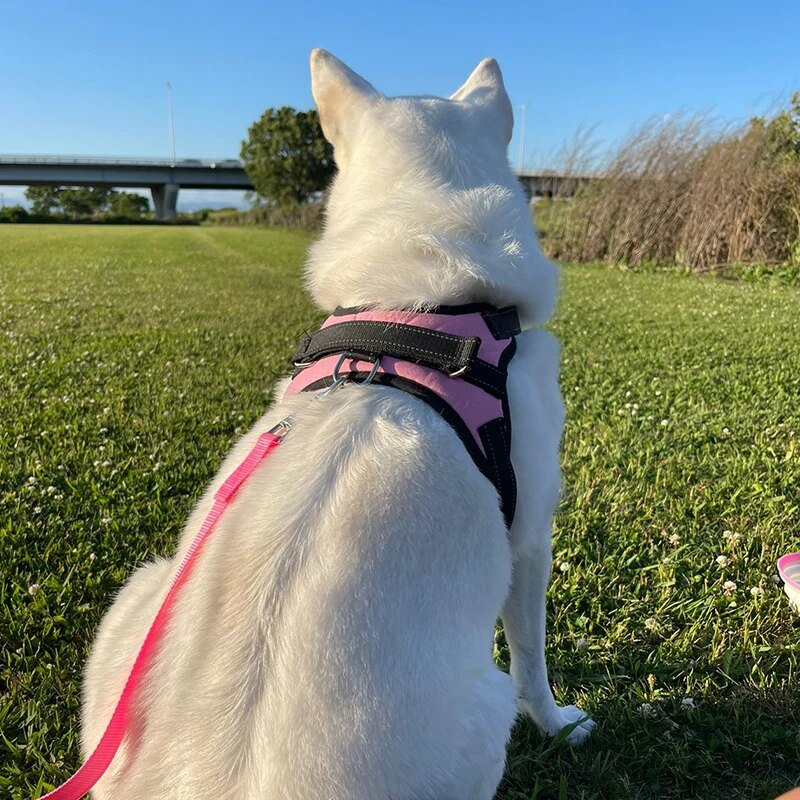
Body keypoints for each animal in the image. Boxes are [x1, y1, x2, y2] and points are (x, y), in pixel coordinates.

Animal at [81, 51, 592, 800]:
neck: (418, 303)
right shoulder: (529, 536)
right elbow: (534, 657)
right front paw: (560, 726)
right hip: (483, 708)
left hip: (138, 601)